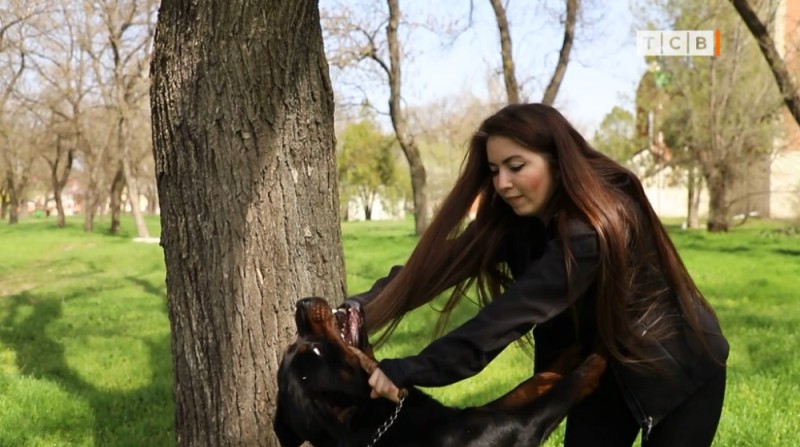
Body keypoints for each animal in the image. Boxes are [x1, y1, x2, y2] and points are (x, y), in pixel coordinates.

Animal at [272, 298, 604, 447]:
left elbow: (528, 385)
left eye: (298, 345)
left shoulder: (481, 411)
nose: (301, 304)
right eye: (315, 350)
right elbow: (565, 390)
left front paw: (566, 359)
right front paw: (596, 359)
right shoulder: (521, 428)